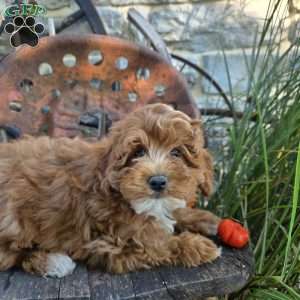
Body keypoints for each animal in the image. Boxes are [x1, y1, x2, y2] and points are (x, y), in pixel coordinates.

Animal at [0, 103, 220, 276]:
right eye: (138, 152)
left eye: (176, 153)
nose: (158, 181)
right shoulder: (112, 244)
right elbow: (158, 243)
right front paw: (199, 246)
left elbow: (175, 212)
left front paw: (206, 220)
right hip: (14, 219)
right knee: (10, 254)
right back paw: (54, 262)